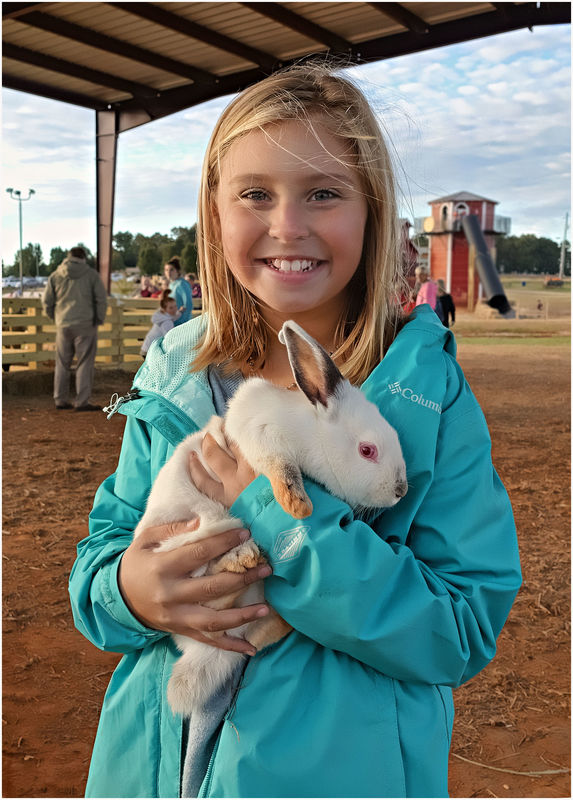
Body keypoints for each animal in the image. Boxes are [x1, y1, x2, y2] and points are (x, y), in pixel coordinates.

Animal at [133, 320, 408, 716]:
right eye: (367, 450)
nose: (401, 490)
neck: (310, 435)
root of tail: (202, 651)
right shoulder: (259, 434)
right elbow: (279, 468)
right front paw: (298, 505)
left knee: (251, 637)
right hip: (196, 532)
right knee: (210, 583)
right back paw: (243, 557)